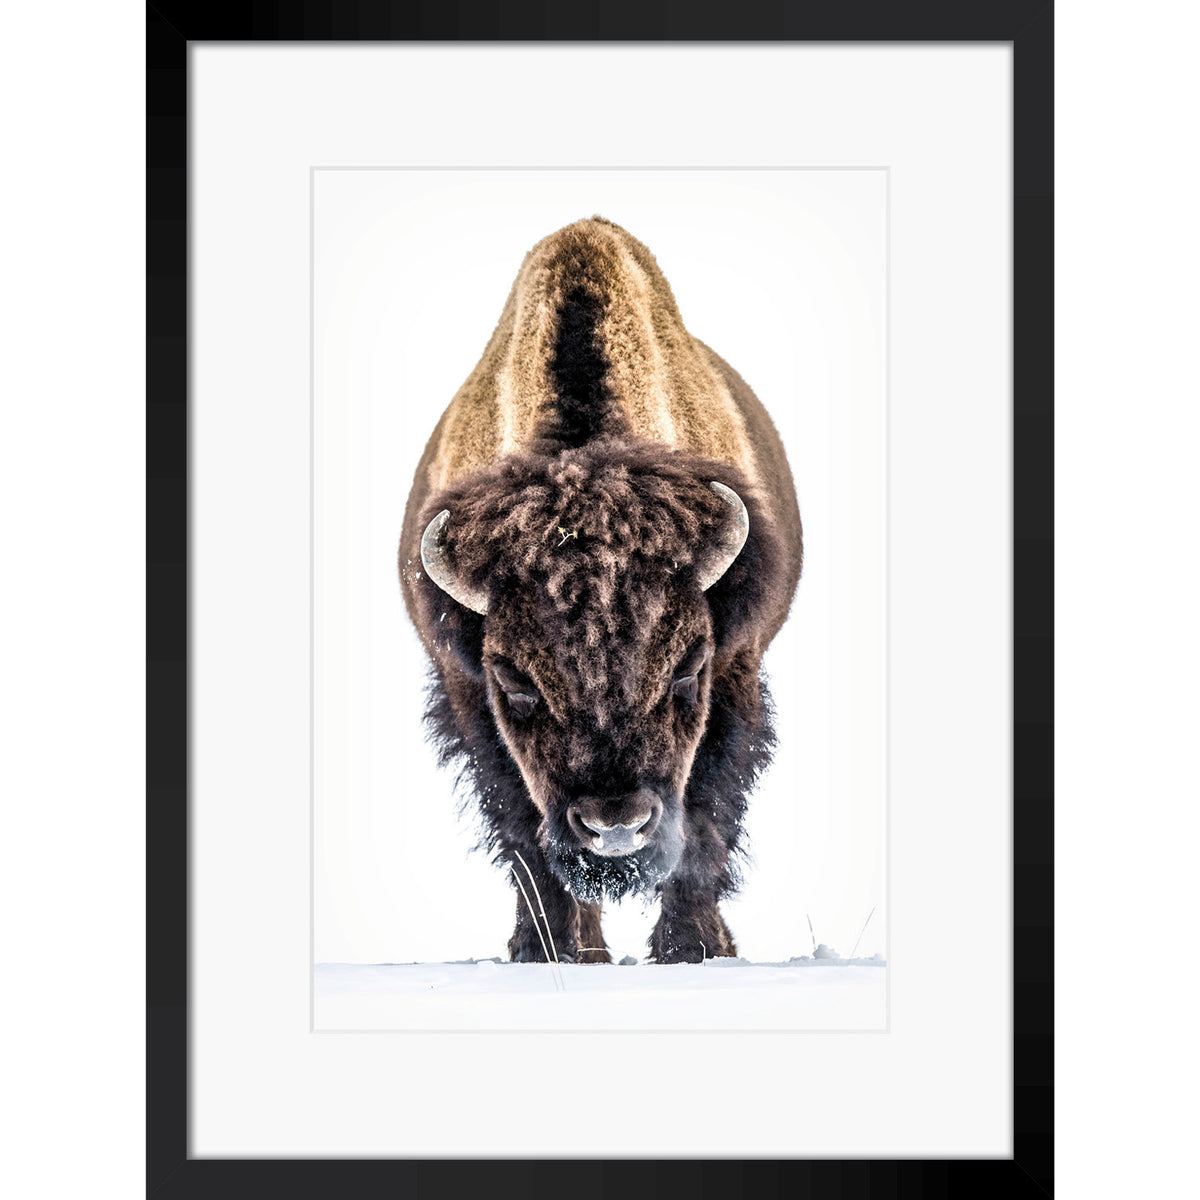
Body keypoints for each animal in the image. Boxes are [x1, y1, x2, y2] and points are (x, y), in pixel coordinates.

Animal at [399, 217, 802, 964]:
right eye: (515, 681)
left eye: (688, 670)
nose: (615, 825)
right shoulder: (467, 694)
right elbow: (525, 835)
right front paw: (549, 951)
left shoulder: (736, 669)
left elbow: (705, 818)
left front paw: (691, 948)